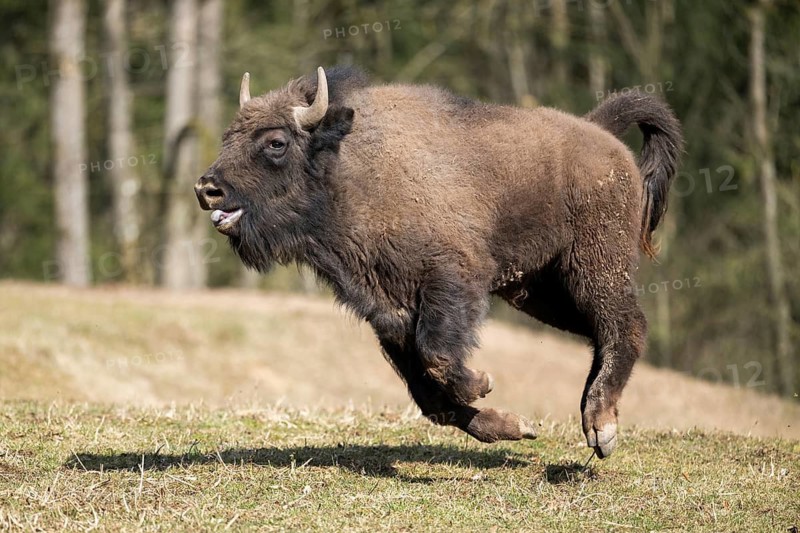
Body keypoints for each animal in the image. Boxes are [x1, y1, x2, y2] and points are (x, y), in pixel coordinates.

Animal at [195, 66, 682, 458]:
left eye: (276, 142)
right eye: (228, 138)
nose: (207, 189)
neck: (350, 170)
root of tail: (600, 133)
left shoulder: (449, 281)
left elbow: (438, 359)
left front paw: (483, 381)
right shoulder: (388, 316)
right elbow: (431, 397)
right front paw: (516, 426)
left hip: (594, 268)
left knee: (624, 326)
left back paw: (601, 428)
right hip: (539, 292)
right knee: (599, 333)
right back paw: (590, 418)